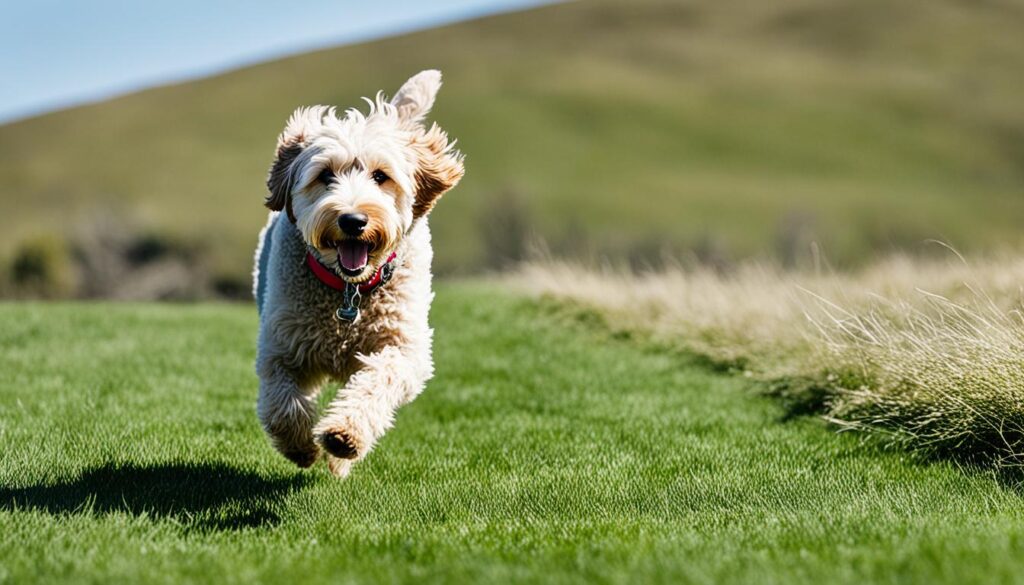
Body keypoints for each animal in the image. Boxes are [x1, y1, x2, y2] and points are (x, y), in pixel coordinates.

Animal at [251, 72, 464, 475]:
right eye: (325, 175)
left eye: (381, 176)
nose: (352, 220)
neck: (349, 292)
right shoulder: (281, 345)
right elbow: (281, 403)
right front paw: (300, 446)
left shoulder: (402, 348)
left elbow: (377, 382)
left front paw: (343, 435)